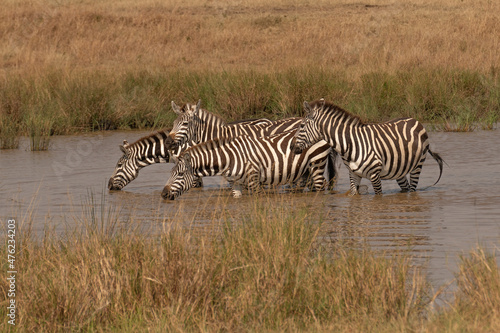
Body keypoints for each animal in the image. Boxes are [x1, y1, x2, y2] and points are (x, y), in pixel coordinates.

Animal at [162, 128, 332, 198]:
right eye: (170, 173)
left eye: (181, 174)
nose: (163, 194)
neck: (228, 158)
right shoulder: (236, 184)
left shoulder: (254, 180)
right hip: (306, 169)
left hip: (317, 163)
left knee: (320, 186)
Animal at [290, 98, 446, 196]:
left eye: (301, 126)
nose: (291, 147)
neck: (350, 144)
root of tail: (414, 120)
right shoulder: (353, 174)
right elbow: (354, 196)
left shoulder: (375, 175)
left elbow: (378, 197)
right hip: (399, 169)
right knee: (406, 188)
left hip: (417, 165)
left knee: (413, 188)